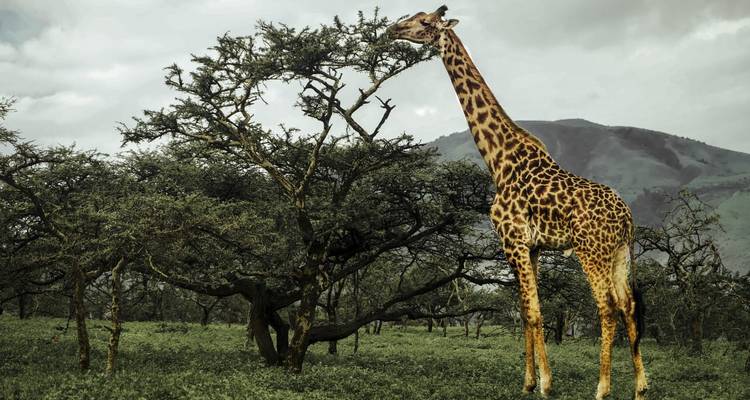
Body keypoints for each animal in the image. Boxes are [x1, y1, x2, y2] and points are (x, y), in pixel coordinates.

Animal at [389, 6, 648, 400]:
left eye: (425, 22)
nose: (392, 29)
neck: (498, 160)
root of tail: (627, 216)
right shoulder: (533, 246)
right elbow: (527, 310)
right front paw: (528, 381)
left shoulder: (511, 240)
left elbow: (534, 311)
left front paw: (545, 383)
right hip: (619, 252)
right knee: (628, 305)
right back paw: (641, 387)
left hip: (592, 250)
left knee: (606, 307)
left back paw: (602, 387)